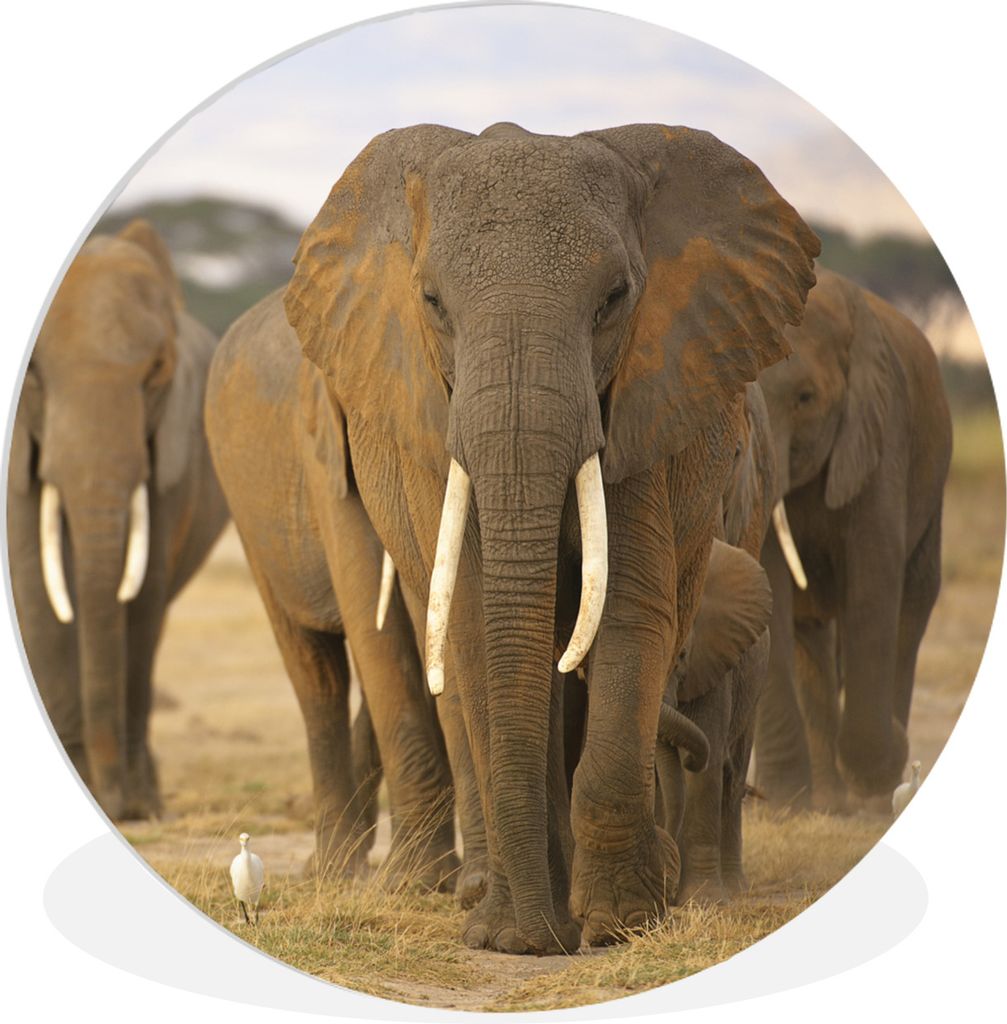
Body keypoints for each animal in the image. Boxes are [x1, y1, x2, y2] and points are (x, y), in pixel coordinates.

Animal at [6, 219, 229, 820]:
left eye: (155, 373)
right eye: (33, 376)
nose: (111, 802)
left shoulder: (171, 449)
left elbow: (144, 591)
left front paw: (137, 807)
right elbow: (35, 583)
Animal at [205, 292, 460, 888]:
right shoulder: (324, 456)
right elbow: (371, 615)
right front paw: (417, 883)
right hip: (248, 519)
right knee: (317, 674)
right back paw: (332, 870)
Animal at [281, 121, 819, 952]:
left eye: (613, 299)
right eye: (431, 302)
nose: (534, 938)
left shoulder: (645, 400)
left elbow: (629, 609)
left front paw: (618, 924)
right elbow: (479, 619)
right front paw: (512, 935)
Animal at [754, 267, 952, 811]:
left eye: (805, 398)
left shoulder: (881, 429)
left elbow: (872, 581)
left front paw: (880, 773)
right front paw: (784, 803)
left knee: (910, 611)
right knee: (811, 642)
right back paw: (825, 802)